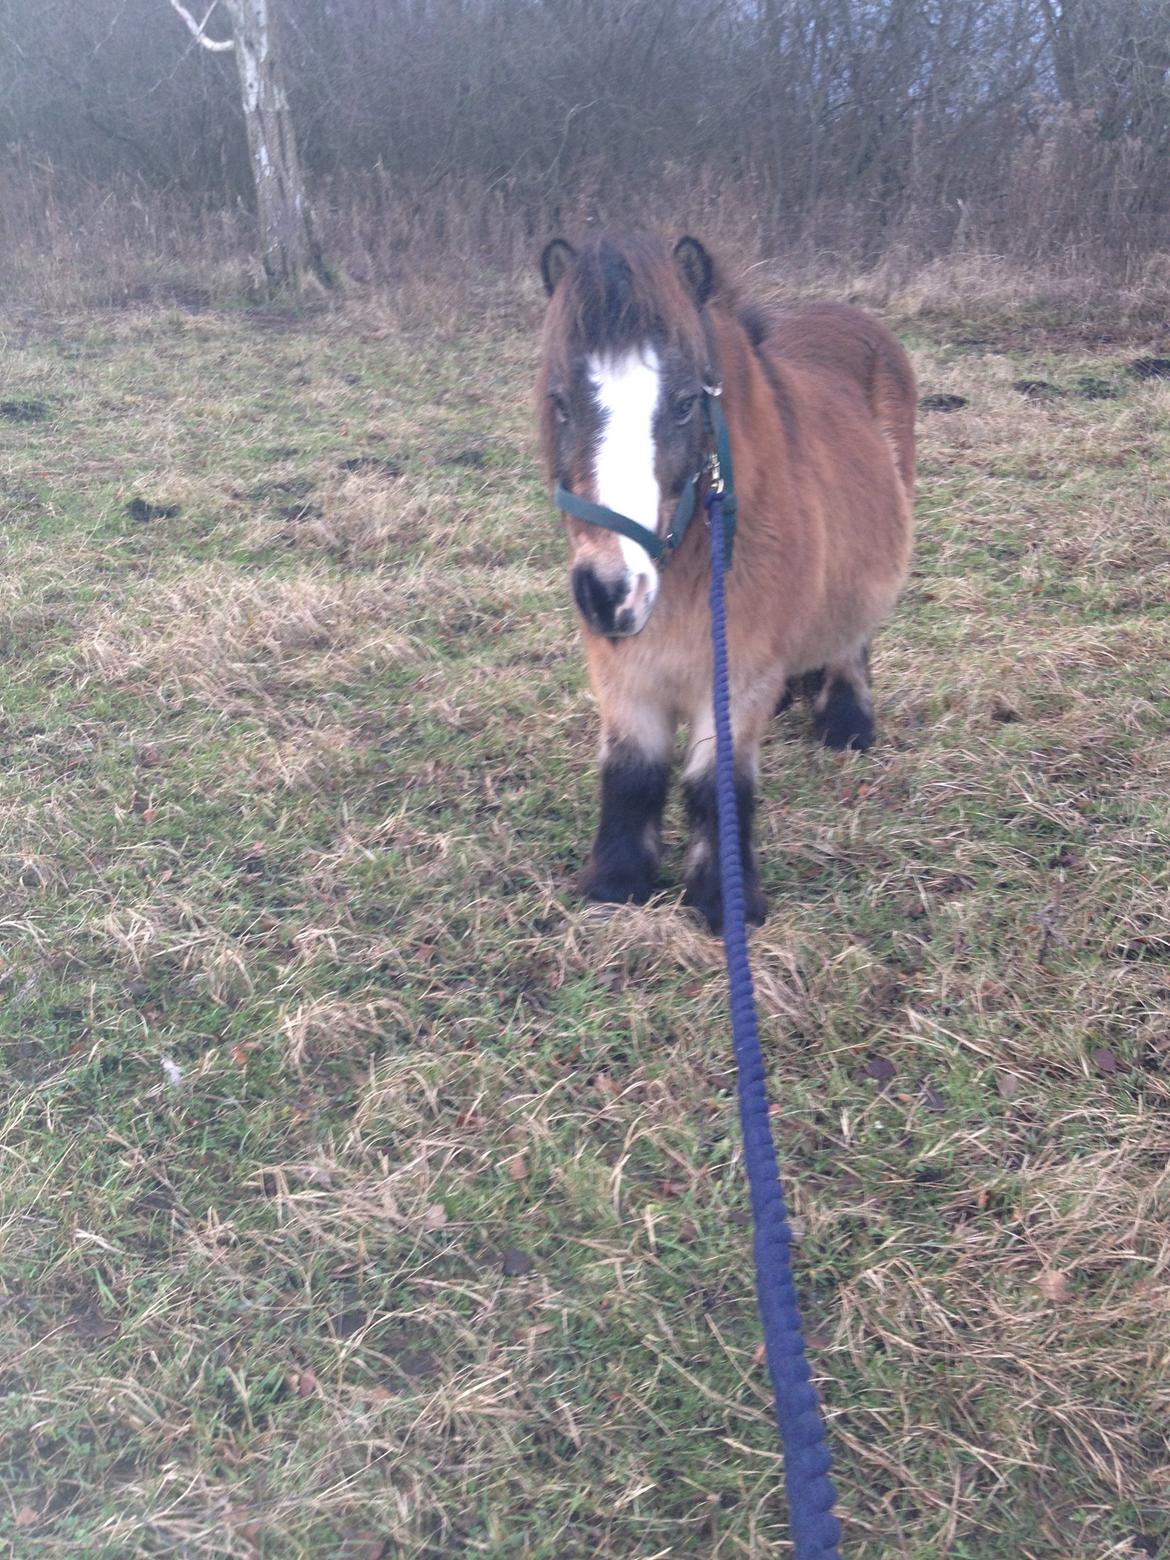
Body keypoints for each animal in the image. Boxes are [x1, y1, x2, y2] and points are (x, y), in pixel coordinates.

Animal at [537, 234, 915, 932]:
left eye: (687, 403)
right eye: (561, 403)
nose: (609, 593)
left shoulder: (736, 679)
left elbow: (716, 785)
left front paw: (724, 901)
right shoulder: (621, 675)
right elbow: (631, 773)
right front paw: (616, 883)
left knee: (852, 636)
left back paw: (847, 725)